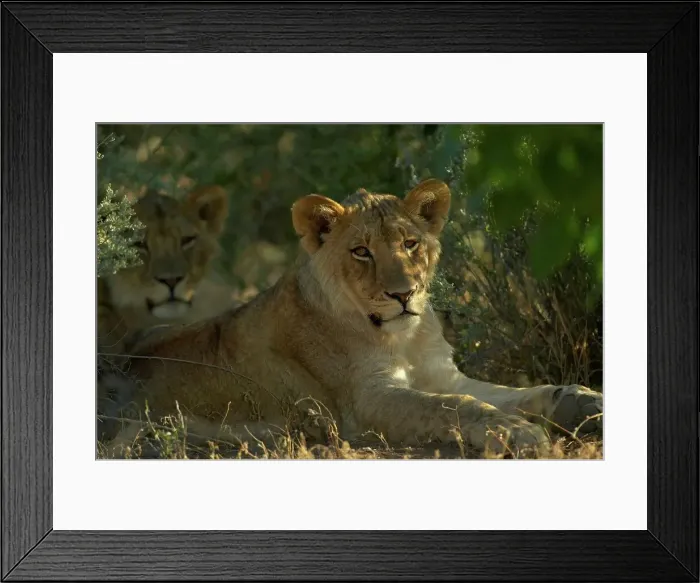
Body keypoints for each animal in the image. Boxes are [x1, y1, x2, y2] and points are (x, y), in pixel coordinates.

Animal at [103, 179, 602, 458]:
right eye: (361, 252)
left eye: (410, 244)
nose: (403, 294)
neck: (405, 336)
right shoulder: (365, 402)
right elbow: (454, 407)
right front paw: (518, 433)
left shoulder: (445, 376)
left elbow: (515, 393)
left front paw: (582, 401)